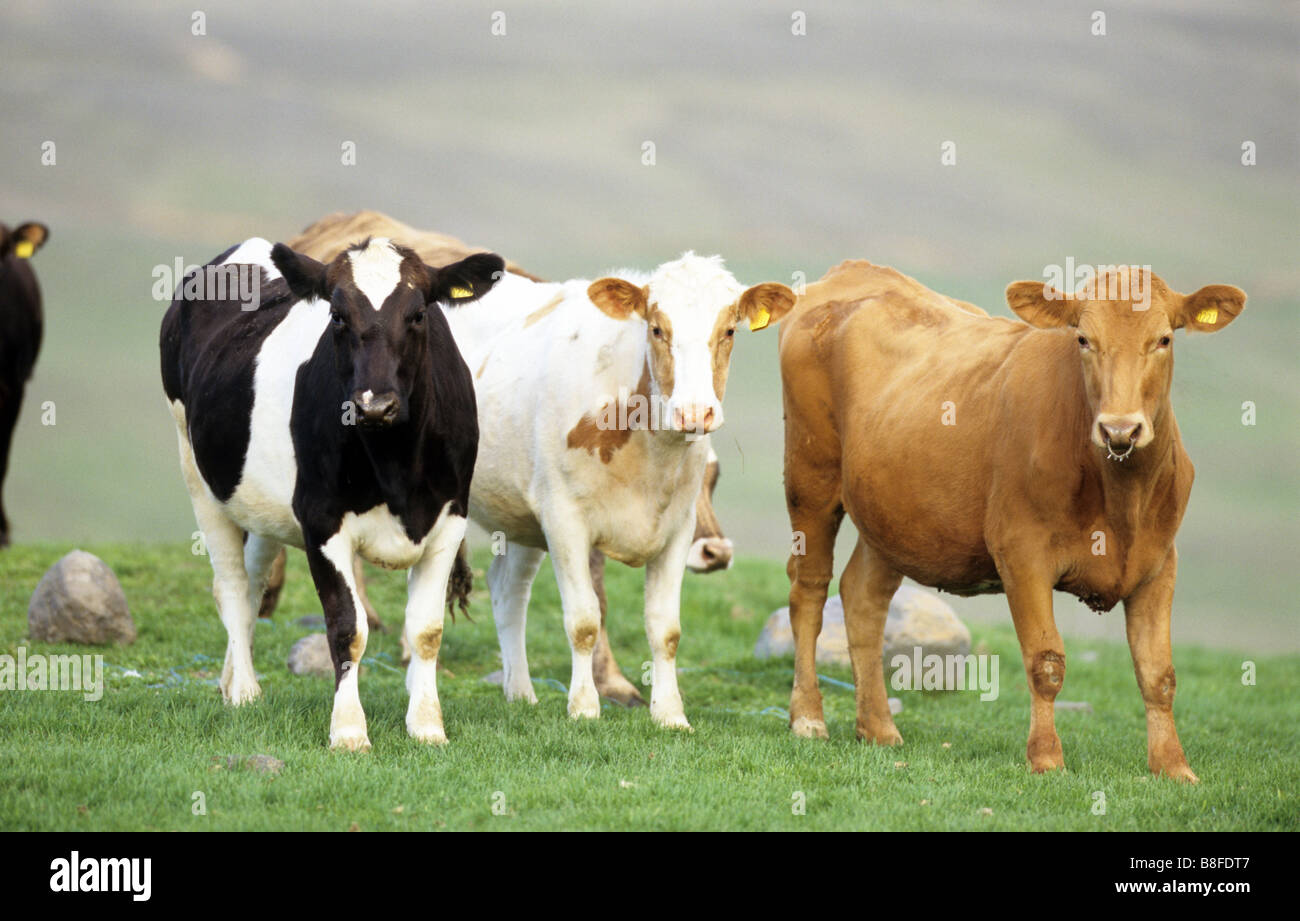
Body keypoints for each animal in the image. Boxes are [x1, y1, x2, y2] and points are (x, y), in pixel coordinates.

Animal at [159, 235, 504, 749]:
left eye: (418, 314)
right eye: (337, 316)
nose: (374, 405)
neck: (396, 463)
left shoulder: (449, 518)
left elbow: (426, 630)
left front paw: (427, 726)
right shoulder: (321, 521)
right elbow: (346, 628)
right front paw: (348, 730)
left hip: (259, 502)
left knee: (254, 585)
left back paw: (231, 681)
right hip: (198, 474)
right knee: (231, 586)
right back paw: (243, 691)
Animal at [774, 261, 1242, 785]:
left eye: (1164, 339)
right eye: (1083, 338)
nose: (1119, 429)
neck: (1122, 498)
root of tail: (853, 272)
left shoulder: (1159, 563)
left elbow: (1158, 674)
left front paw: (1173, 766)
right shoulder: (1023, 553)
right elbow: (1047, 662)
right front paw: (1047, 758)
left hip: (889, 514)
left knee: (862, 596)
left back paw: (877, 727)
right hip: (810, 477)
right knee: (810, 589)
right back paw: (808, 717)